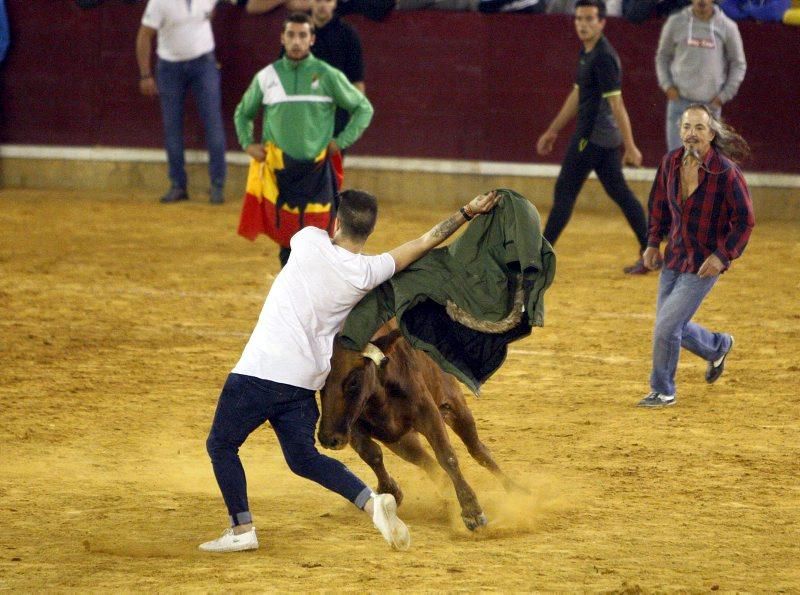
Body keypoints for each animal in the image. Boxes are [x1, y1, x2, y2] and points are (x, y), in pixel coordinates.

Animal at [316, 326, 520, 532]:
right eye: (319, 382)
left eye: (354, 381)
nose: (327, 438)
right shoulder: (354, 427)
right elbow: (372, 454)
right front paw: (391, 491)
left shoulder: (428, 413)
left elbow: (447, 456)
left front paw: (472, 511)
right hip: (401, 440)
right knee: (425, 460)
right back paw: (446, 495)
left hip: (456, 408)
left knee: (478, 451)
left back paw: (516, 491)